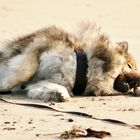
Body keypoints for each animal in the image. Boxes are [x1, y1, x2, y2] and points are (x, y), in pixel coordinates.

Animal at [0, 22, 139, 101]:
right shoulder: (38, 47)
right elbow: (24, 71)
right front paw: (3, 84)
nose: (138, 81)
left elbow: (50, 87)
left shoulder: (44, 82)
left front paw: (60, 95)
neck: (85, 70)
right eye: (129, 66)